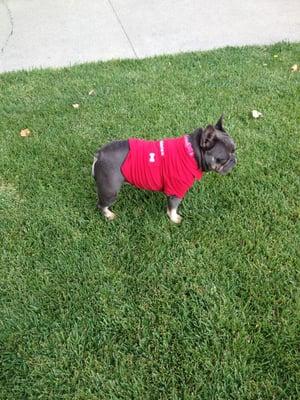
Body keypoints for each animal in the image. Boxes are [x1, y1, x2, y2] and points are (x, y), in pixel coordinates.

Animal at [91, 115, 237, 223]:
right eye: (223, 159)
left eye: (234, 150)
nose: (234, 159)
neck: (192, 153)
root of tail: (99, 154)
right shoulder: (176, 191)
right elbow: (172, 208)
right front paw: (174, 219)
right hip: (110, 190)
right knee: (101, 205)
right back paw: (109, 215)